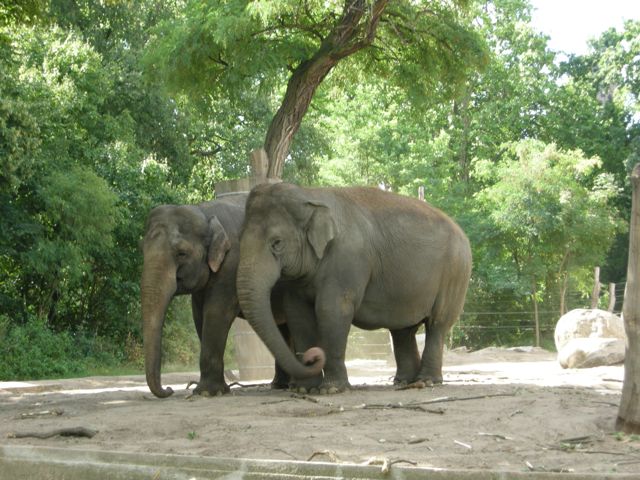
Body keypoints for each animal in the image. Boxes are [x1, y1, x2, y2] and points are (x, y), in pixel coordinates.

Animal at [140, 193, 296, 400]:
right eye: (141, 250)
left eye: (182, 253)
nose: (169, 389)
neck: (204, 212)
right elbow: (199, 316)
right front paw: (217, 390)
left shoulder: (233, 263)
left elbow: (216, 312)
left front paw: (207, 393)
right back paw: (280, 385)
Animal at [235, 184, 470, 394]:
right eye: (239, 240)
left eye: (277, 243)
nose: (312, 357)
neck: (310, 194)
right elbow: (298, 315)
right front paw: (304, 389)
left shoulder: (347, 260)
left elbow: (332, 310)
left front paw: (331, 389)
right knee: (402, 330)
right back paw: (404, 382)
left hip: (455, 273)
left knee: (437, 324)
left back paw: (428, 381)